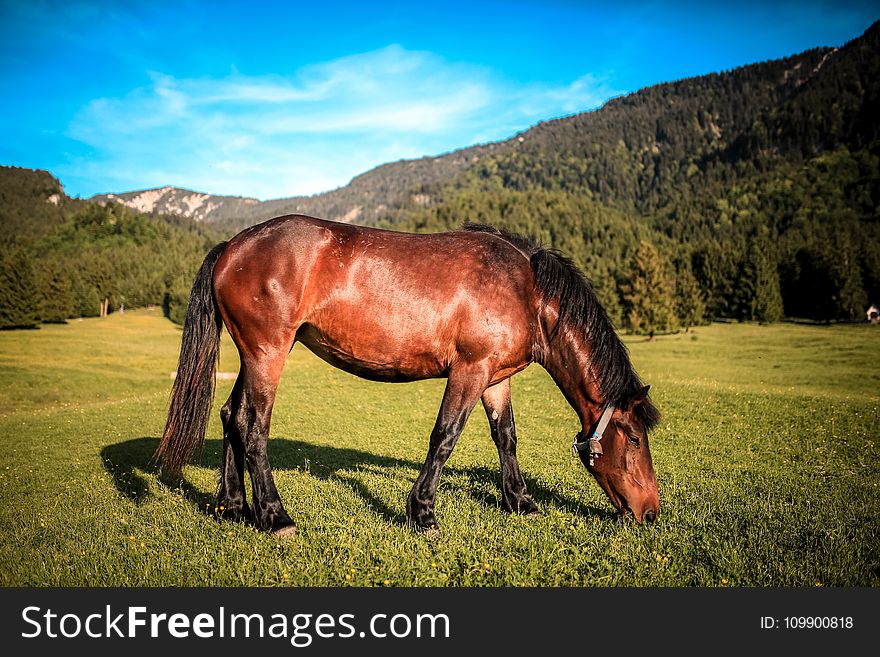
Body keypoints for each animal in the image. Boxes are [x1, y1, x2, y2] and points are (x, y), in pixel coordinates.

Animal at [156, 215, 660, 532]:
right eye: (634, 438)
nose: (651, 512)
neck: (526, 289)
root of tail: (233, 246)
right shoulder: (470, 370)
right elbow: (445, 436)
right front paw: (423, 513)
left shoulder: (496, 377)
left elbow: (506, 437)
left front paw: (520, 502)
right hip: (267, 353)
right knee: (253, 427)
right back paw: (275, 516)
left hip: (254, 355)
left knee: (230, 416)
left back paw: (233, 506)